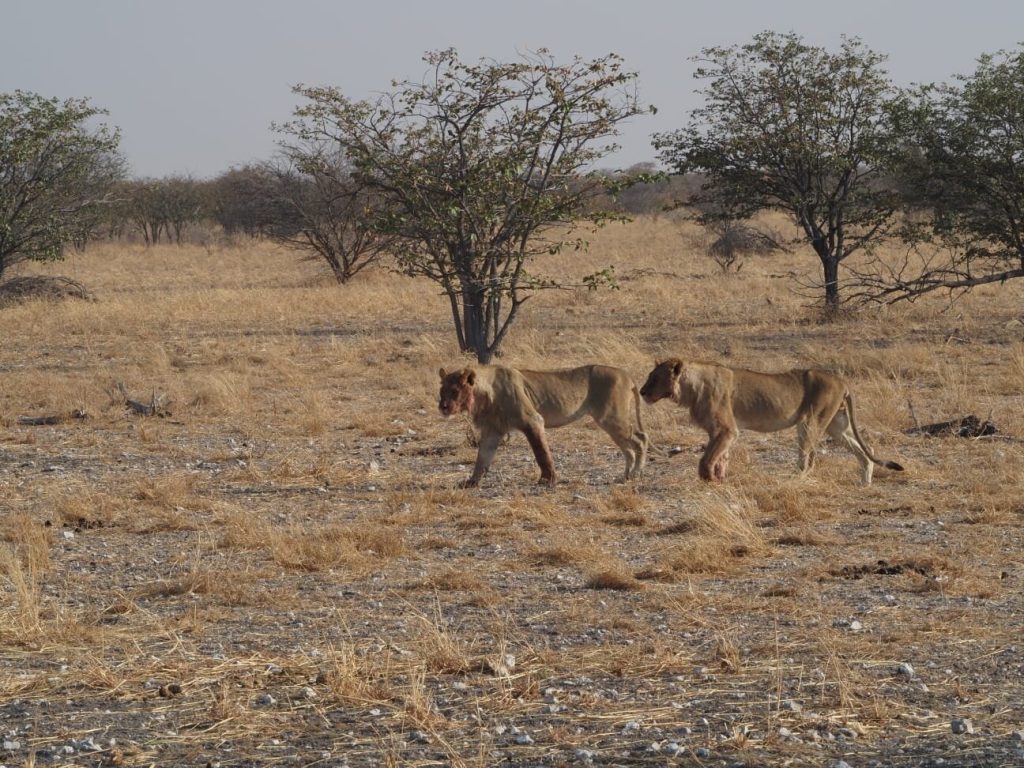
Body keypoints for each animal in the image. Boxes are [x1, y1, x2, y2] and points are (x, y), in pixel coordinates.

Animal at [438, 364, 649, 488]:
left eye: (455, 391)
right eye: (442, 391)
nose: (443, 406)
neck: (484, 393)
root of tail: (626, 375)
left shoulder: (532, 420)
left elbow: (541, 453)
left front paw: (547, 480)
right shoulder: (492, 431)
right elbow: (482, 458)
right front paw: (471, 482)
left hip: (612, 418)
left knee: (641, 439)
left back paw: (636, 474)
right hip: (611, 422)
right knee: (629, 448)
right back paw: (626, 476)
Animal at [639, 358, 904, 484]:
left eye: (654, 378)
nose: (641, 392)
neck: (690, 387)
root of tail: (843, 381)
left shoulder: (727, 429)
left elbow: (706, 460)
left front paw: (710, 480)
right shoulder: (720, 432)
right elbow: (720, 458)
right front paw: (720, 479)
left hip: (810, 421)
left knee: (808, 459)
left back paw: (795, 481)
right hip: (837, 425)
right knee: (866, 450)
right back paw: (865, 483)